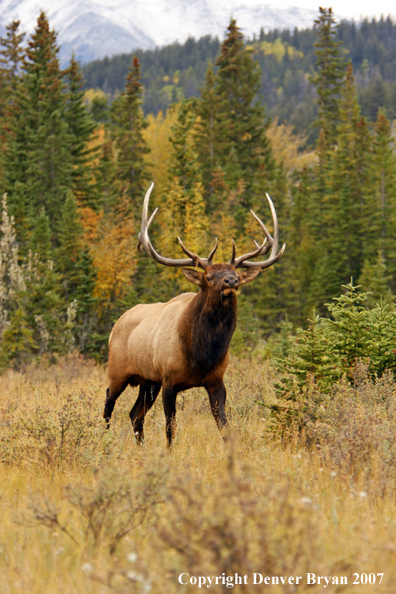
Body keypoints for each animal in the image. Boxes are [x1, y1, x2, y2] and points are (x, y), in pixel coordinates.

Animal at [103, 184, 284, 444]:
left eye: (236, 274)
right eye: (208, 276)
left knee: (135, 414)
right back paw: (103, 440)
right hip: (118, 371)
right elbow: (171, 428)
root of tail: (115, 325)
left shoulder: (216, 381)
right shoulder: (169, 380)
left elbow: (224, 427)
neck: (201, 353)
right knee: (108, 403)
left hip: (148, 381)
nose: (232, 281)